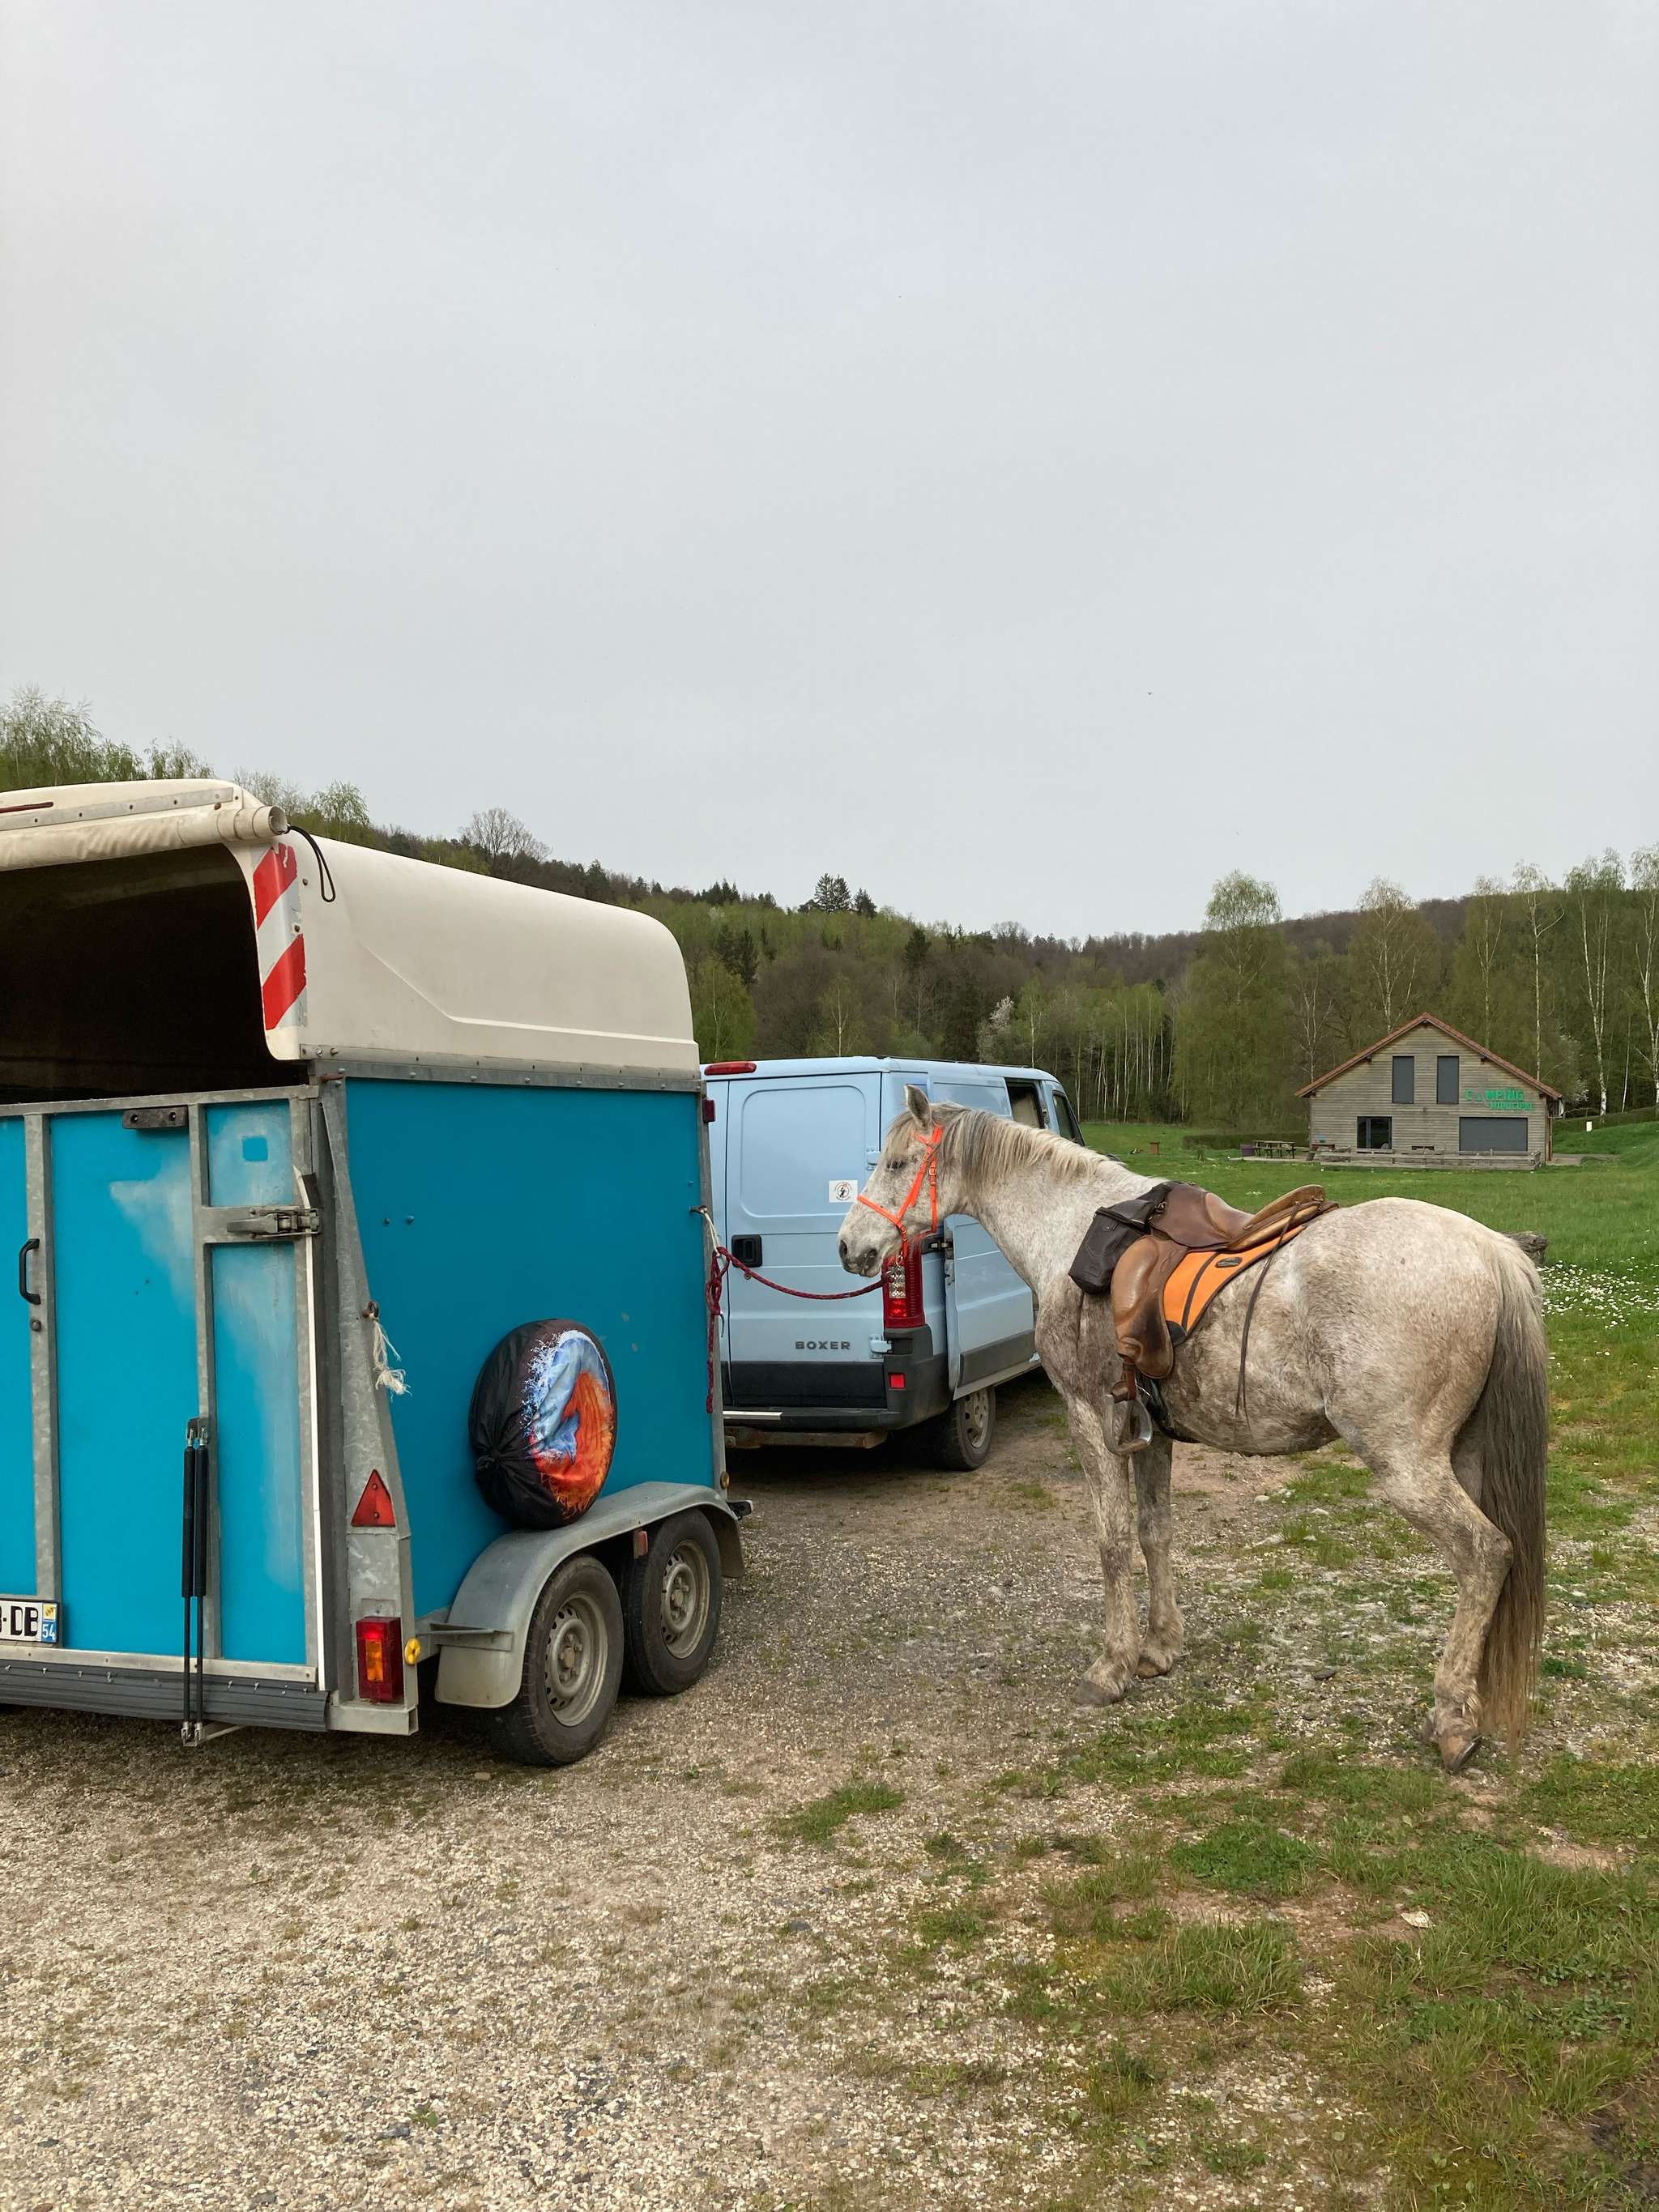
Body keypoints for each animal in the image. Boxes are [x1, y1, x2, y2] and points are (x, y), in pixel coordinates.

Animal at [836, 1089, 1547, 1773]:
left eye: (897, 1162)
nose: (848, 1246)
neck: (1065, 1229)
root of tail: (1490, 1250)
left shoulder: (1090, 1419)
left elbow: (1114, 1541)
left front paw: (1112, 1666)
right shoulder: (1153, 1432)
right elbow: (1156, 1531)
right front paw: (1159, 1647)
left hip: (1406, 1464)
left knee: (1485, 1554)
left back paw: (1452, 1719)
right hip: (1466, 1456)